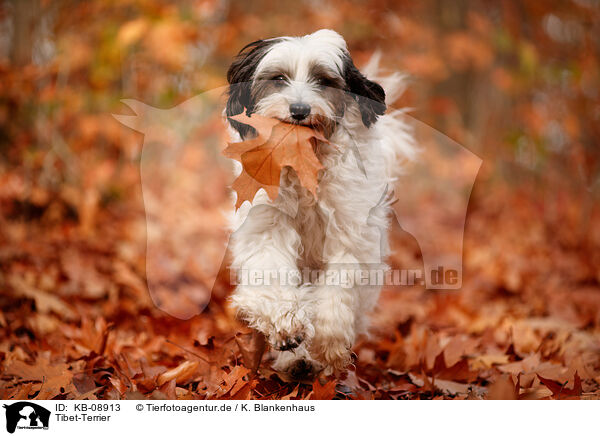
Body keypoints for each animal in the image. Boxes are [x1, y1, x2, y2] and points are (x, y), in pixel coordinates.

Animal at [223, 29, 414, 378]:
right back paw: (295, 361)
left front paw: (329, 342)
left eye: (323, 81)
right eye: (279, 79)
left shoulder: (350, 232)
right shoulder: (267, 225)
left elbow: (340, 285)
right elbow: (271, 272)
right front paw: (285, 325)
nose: (299, 109)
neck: (305, 165)